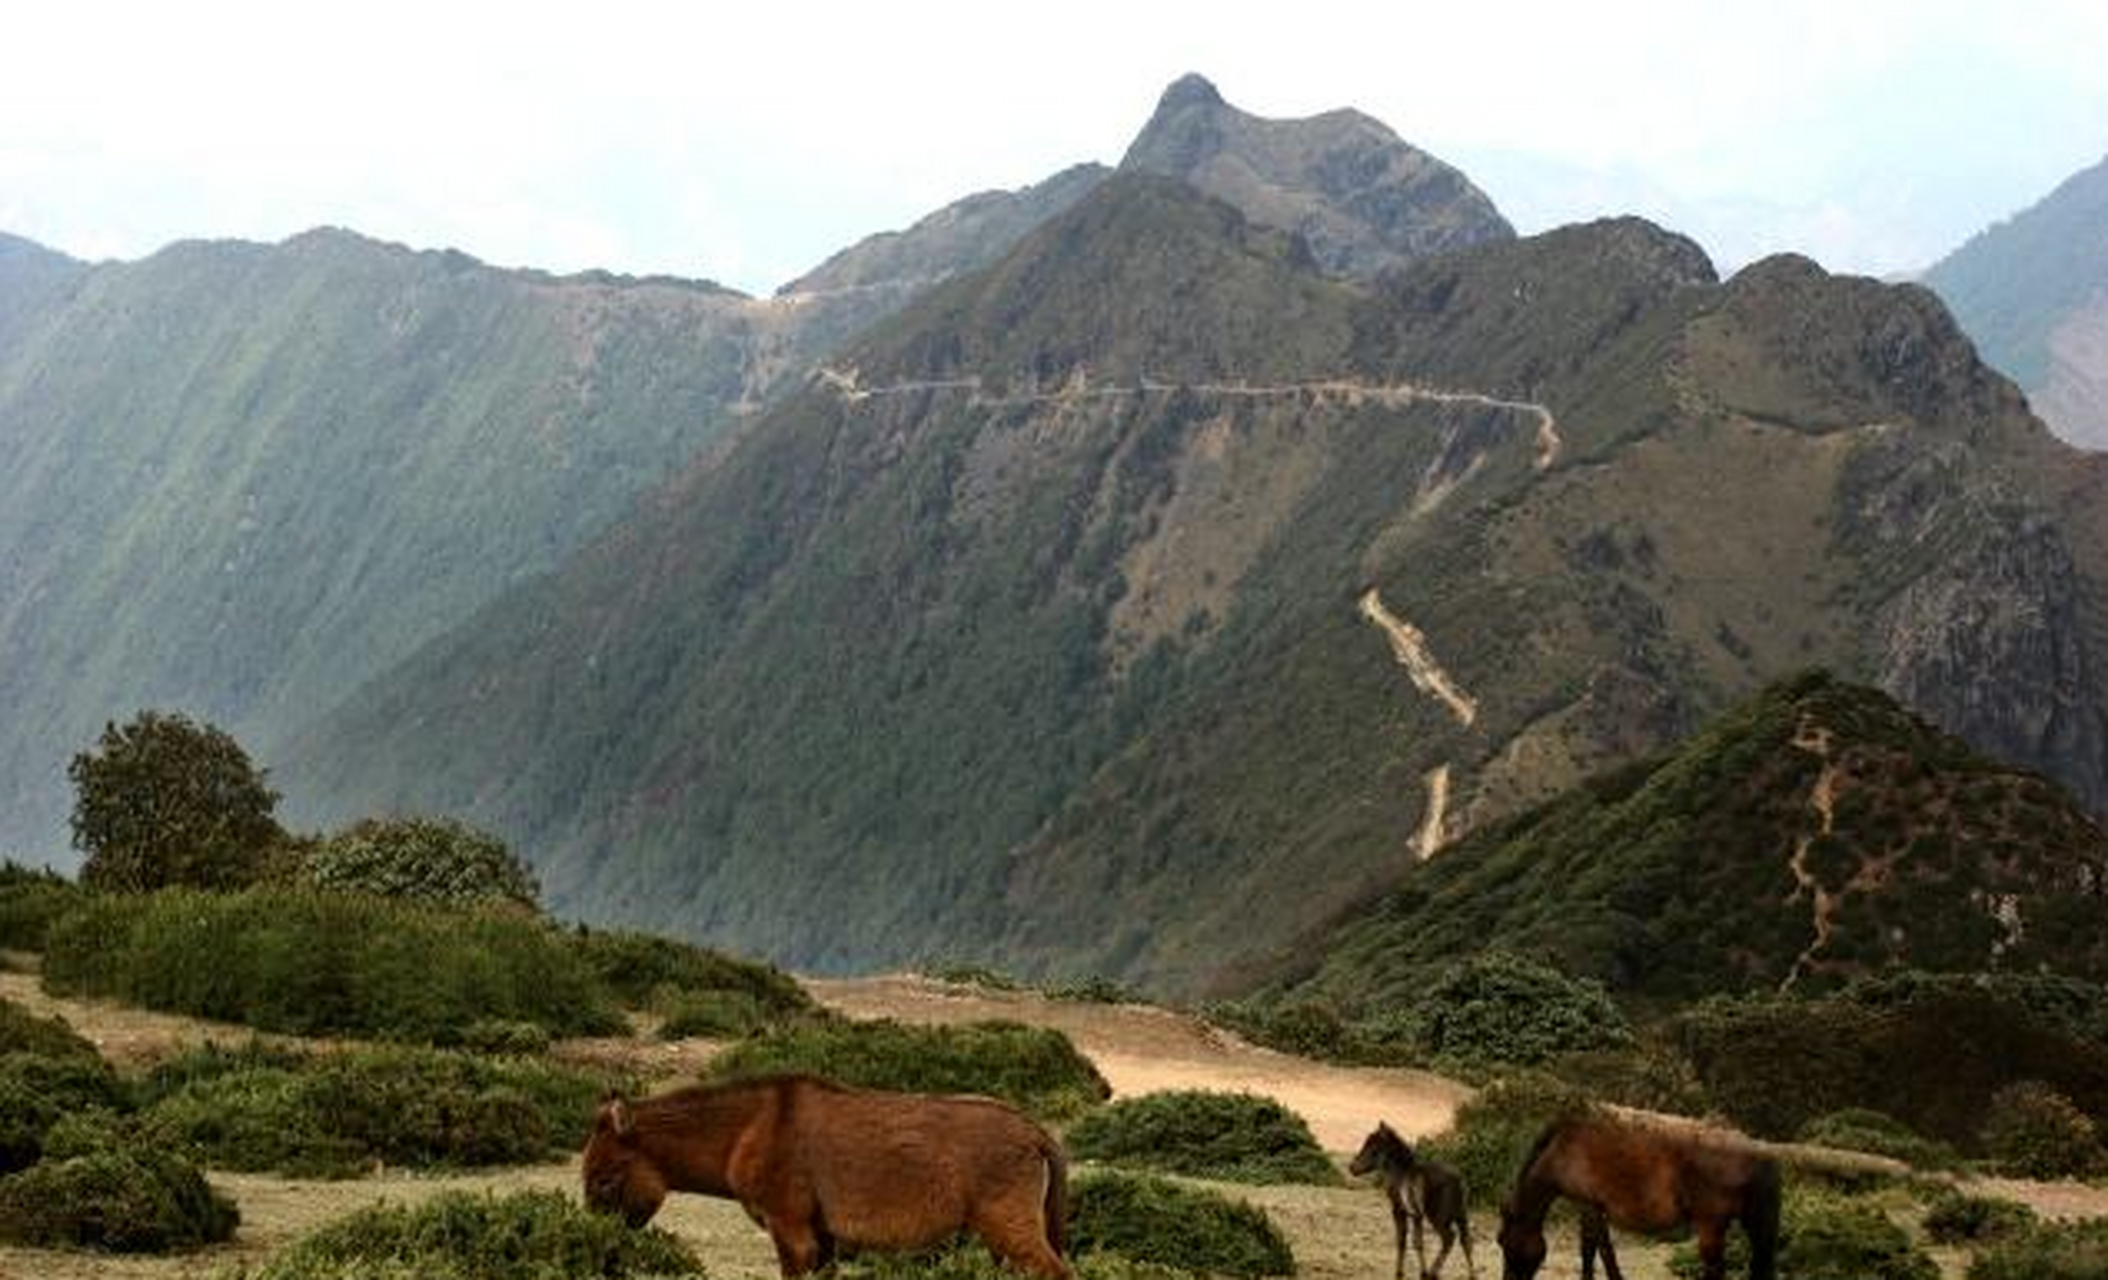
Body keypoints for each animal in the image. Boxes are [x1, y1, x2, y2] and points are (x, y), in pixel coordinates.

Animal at [577, 1075, 1070, 1273]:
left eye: (604, 1180)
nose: (602, 1253)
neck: (747, 1130)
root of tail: (1034, 1129)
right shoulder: (824, 1238)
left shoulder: (791, 1230)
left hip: (1008, 1227)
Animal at [1357, 1130, 1475, 1273]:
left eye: (1371, 1146)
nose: (1352, 1167)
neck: (1400, 1173)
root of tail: (1459, 1180)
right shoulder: (1411, 1214)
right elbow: (1410, 1242)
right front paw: (1410, 1273)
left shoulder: (1403, 1210)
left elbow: (1409, 1241)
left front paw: (1411, 1273)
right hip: (1461, 1214)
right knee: (1466, 1241)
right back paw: (1472, 1275)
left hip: (1438, 1216)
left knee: (1449, 1238)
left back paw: (1432, 1273)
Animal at [1500, 1113, 1779, 1280]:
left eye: (1502, 1241)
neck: (1564, 1150)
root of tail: (1756, 1150)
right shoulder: (1591, 1208)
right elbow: (1597, 1248)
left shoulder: (1590, 1205)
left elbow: (1595, 1250)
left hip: (1711, 1225)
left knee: (1715, 1269)